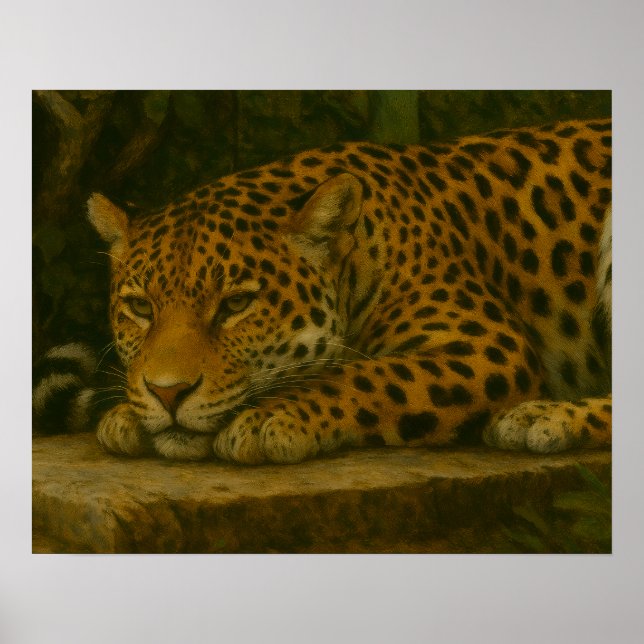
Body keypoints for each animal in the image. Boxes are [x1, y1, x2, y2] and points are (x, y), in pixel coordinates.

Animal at [35, 118, 612, 464]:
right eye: (139, 307)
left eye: (236, 304)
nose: (168, 393)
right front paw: (128, 412)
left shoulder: (488, 347)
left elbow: (369, 374)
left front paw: (269, 417)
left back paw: (542, 418)